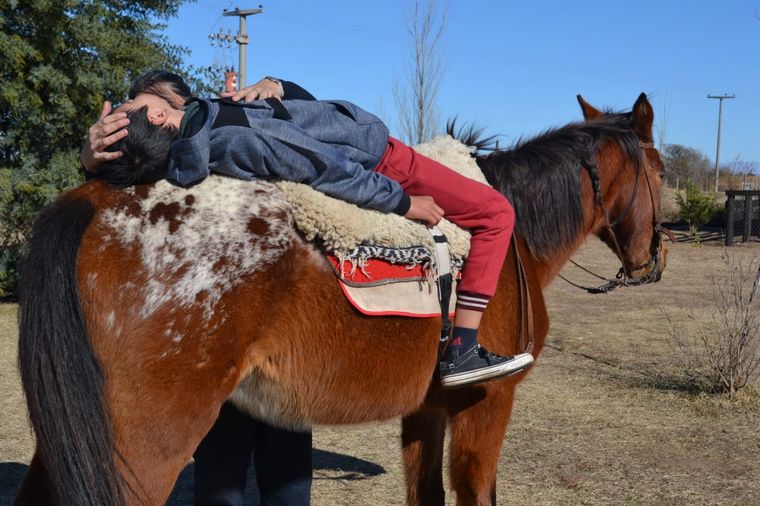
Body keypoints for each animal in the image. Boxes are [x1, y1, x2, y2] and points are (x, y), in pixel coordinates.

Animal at [15, 93, 666, 505]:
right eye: (661, 172)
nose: (651, 262)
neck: (517, 235)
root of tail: (90, 198)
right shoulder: (486, 404)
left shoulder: (426, 411)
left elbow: (425, 493)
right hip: (143, 445)